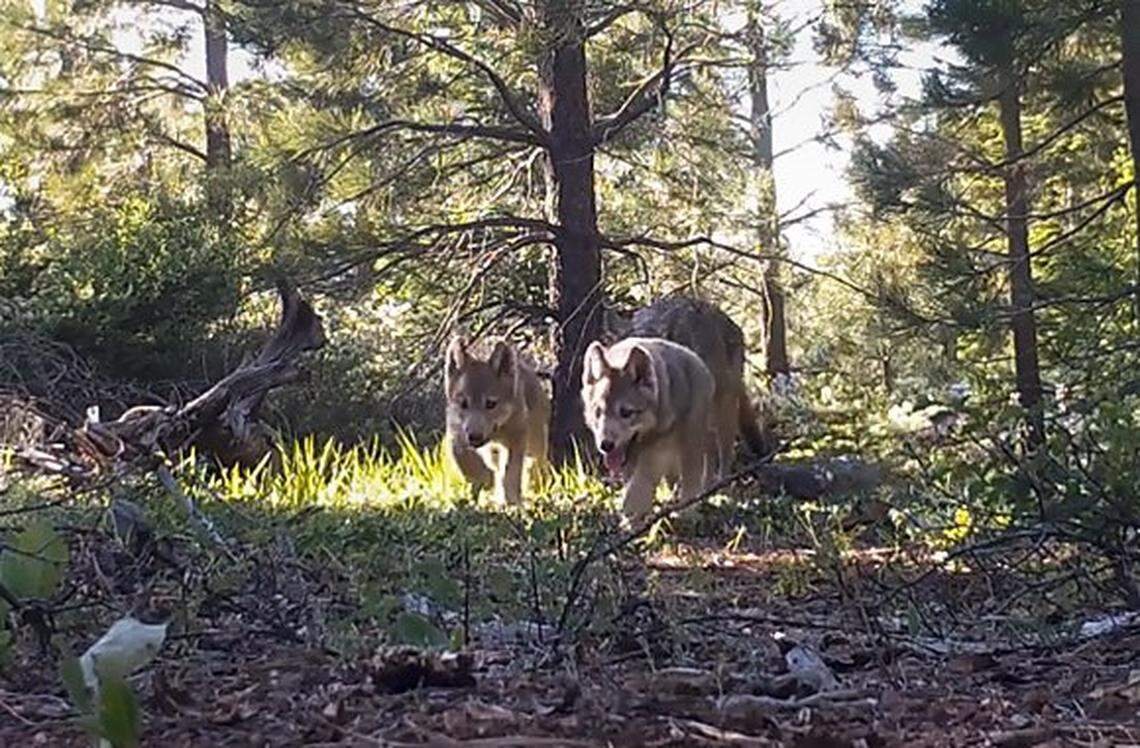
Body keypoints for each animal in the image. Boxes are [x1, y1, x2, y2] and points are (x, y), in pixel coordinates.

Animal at [444, 336, 550, 505]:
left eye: (490, 403)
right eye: (463, 403)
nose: (474, 436)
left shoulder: (517, 438)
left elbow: (511, 472)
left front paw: (512, 501)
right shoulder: (457, 433)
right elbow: (466, 460)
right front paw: (484, 480)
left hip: (535, 442)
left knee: (537, 463)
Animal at [581, 337, 715, 519]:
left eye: (626, 412)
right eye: (598, 412)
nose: (605, 445)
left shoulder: (656, 452)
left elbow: (640, 484)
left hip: (691, 443)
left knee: (691, 480)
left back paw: (687, 512)